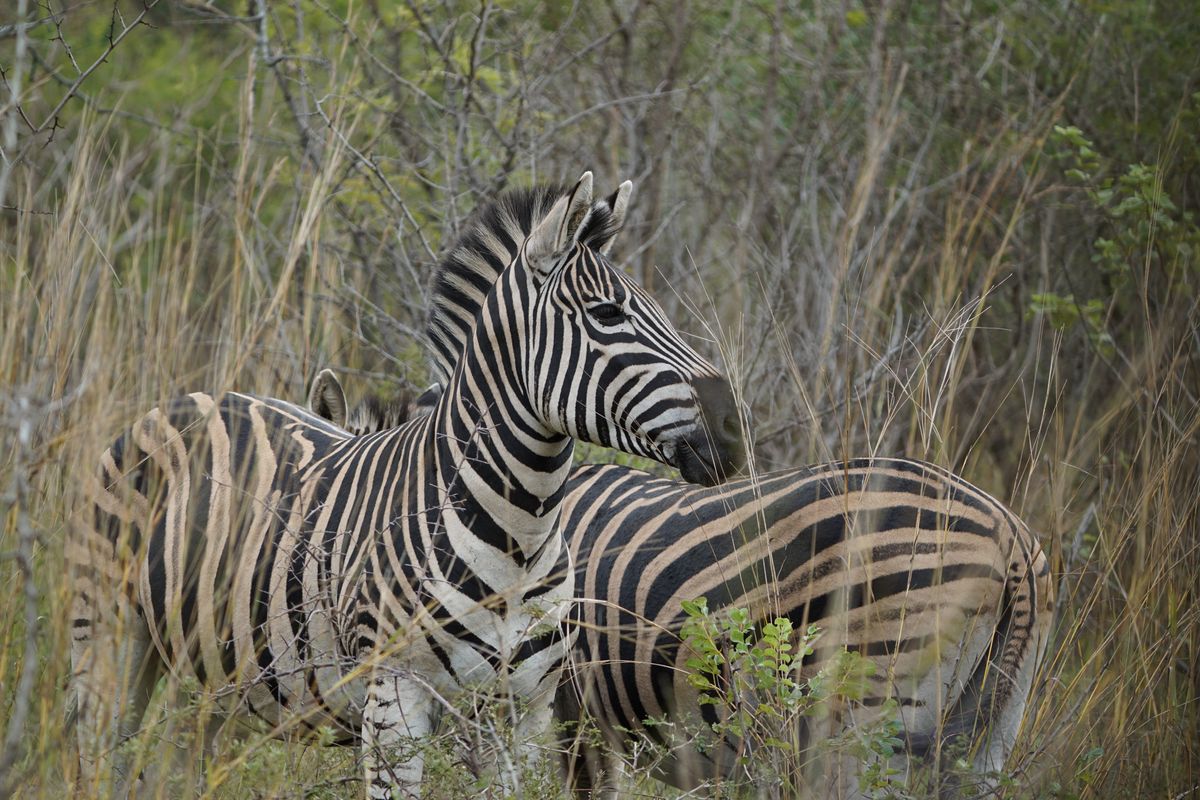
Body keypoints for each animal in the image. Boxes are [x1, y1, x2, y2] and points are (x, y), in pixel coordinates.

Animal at [68, 172, 746, 799]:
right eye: (608, 315)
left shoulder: (527, 710)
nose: (735, 427)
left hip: (216, 676)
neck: (520, 534)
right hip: (107, 637)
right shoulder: (396, 698)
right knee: (100, 753)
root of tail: (193, 399)